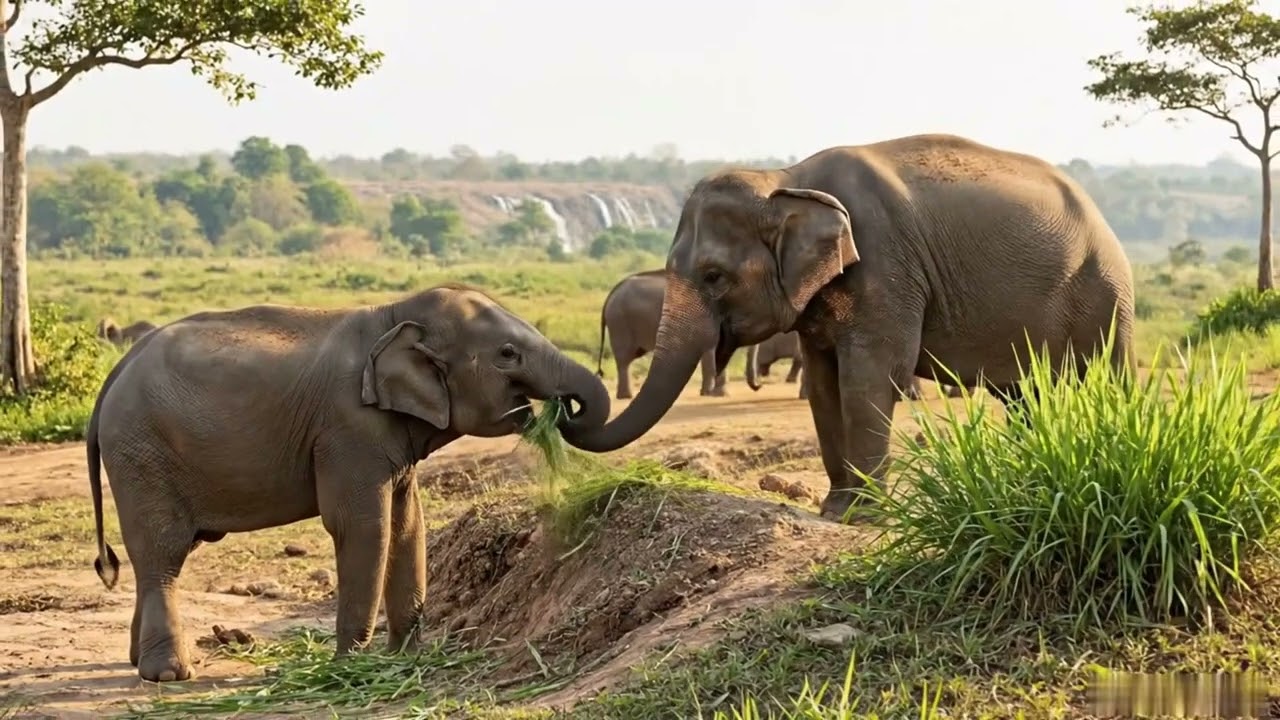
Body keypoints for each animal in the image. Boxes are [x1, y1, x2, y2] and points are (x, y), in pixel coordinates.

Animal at [85, 284, 611, 683]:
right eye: (507, 354)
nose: (565, 409)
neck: (393, 315)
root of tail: (114, 374)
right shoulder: (348, 427)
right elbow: (363, 527)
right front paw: (349, 666)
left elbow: (407, 526)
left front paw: (405, 659)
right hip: (141, 449)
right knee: (164, 551)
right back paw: (168, 674)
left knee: (161, 555)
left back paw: (139, 661)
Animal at [560, 133, 1136, 520]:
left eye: (714, 276)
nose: (567, 405)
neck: (785, 180)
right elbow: (824, 382)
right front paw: (836, 511)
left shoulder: (885, 265)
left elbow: (868, 376)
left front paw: (863, 516)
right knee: (1025, 395)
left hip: (1105, 295)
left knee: (1106, 380)